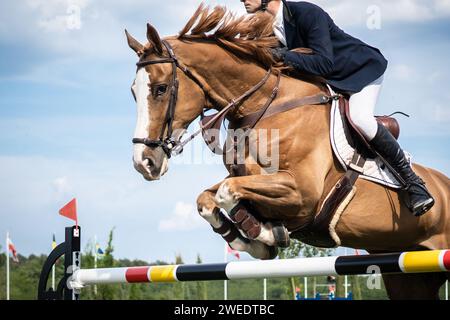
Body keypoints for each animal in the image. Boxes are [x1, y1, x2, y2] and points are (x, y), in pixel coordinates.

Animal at [126, 6, 450, 298]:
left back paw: (420, 195)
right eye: (133, 92)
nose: (144, 163)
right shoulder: (251, 178)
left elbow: (227, 192)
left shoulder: (302, 191)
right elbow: (208, 199)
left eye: (160, 88)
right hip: (406, 276)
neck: (262, 105)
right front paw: (254, 237)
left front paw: (265, 233)